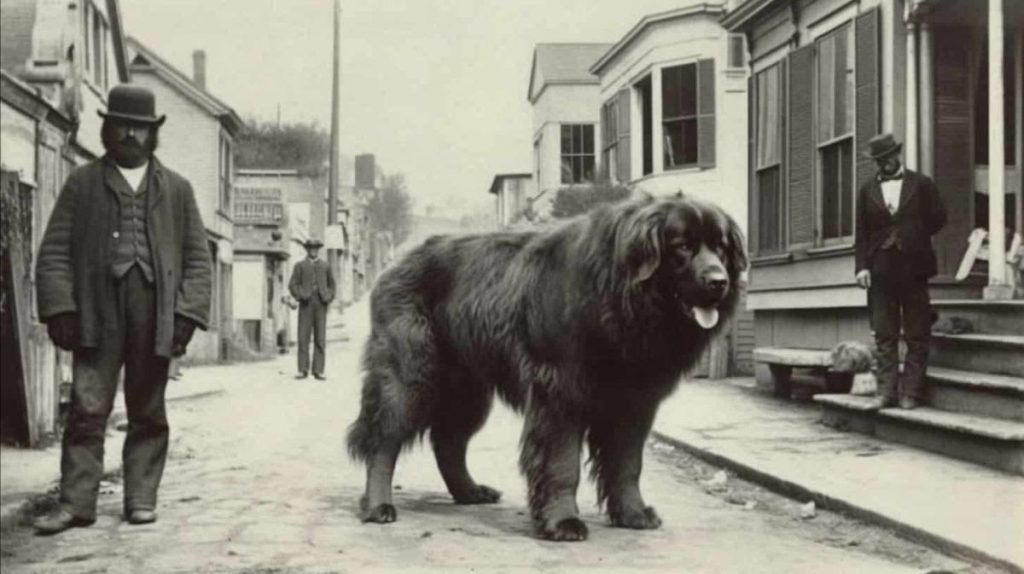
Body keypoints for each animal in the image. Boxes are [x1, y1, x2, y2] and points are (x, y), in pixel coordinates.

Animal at [346, 194, 747, 541]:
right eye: (682, 247)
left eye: (721, 247)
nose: (719, 281)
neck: (618, 295)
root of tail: (397, 263)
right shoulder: (560, 394)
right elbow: (561, 464)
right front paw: (562, 521)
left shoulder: (635, 403)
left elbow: (627, 465)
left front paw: (632, 514)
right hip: (409, 376)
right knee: (384, 440)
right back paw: (378, 506)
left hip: (469, 391)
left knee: (448, 442)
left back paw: (470, 492)